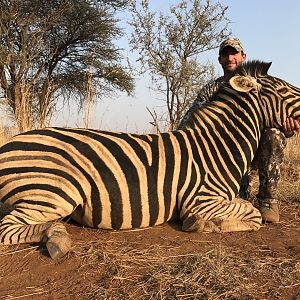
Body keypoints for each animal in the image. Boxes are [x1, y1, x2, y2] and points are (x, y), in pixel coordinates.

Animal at [0, 59, 298, 258]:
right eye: (283, 90)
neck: (216, 147)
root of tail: (9, 144)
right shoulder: (201, 199)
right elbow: (253, 216)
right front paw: (200, 224)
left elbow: (250, 210)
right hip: (56, 191)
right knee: (6, 228)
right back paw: (57, 240)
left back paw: (57, 232)